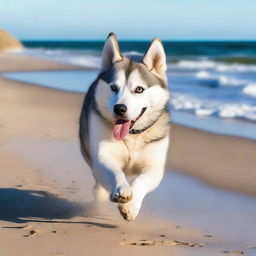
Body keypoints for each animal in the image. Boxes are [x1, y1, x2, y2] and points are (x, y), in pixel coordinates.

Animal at [79, 33, 170, 221]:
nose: (119, 108)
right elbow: (114, 172)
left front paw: (131, 207)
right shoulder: (103, 156)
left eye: (139, 89)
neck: (133, 135)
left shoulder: (154, 166)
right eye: (114, 87)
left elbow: (142, 180)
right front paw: (121, 189)